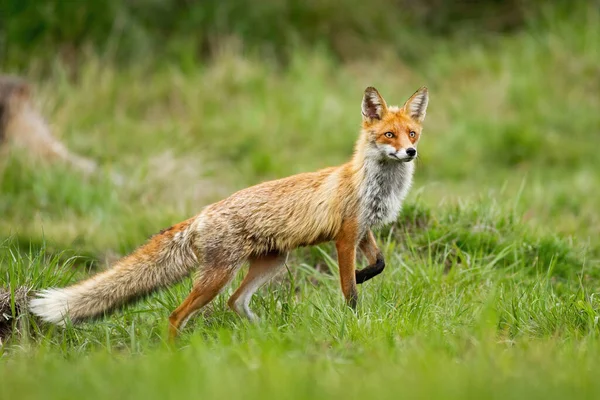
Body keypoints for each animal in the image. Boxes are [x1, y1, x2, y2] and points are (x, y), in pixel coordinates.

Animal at [30, 86, 428, 340]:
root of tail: (202, 213)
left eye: (412, 133)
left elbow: (380, 263)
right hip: (217, 277)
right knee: (176, 315)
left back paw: (262, 335)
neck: (374, 185)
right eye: (389, 135)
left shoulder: (364, 229)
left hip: (271, 263)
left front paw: (364, 275)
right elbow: (349, 292)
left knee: (234, 303)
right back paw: (174, 356)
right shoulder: (345, 237)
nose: (410, 153)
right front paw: (354, 318)